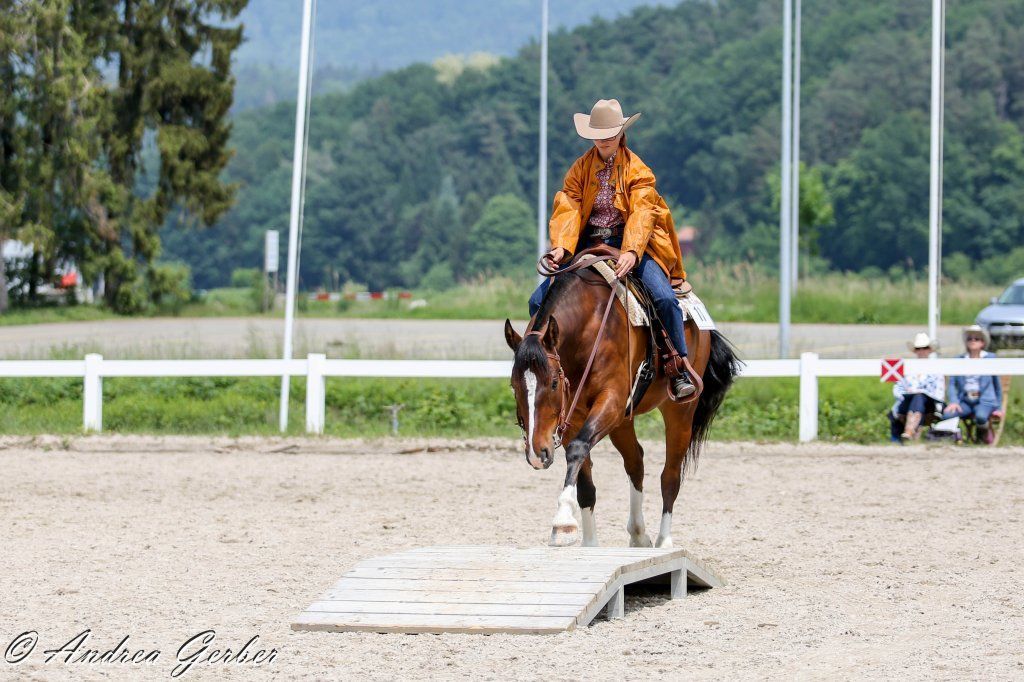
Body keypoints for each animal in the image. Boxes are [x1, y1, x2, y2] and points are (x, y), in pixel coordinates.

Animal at [504, 250, 740, 548]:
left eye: (554, 383)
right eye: (514, 386)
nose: (538, 453)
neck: (589, 327)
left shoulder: (611, 400)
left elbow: (578, 449)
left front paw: (563, 522)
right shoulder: (573, 416)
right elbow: (585, 483)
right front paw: (589, 543)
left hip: (680, 412)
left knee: (670, 476)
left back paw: (664, 541)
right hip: (622, 421)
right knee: (635, 462)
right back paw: (638, 535)